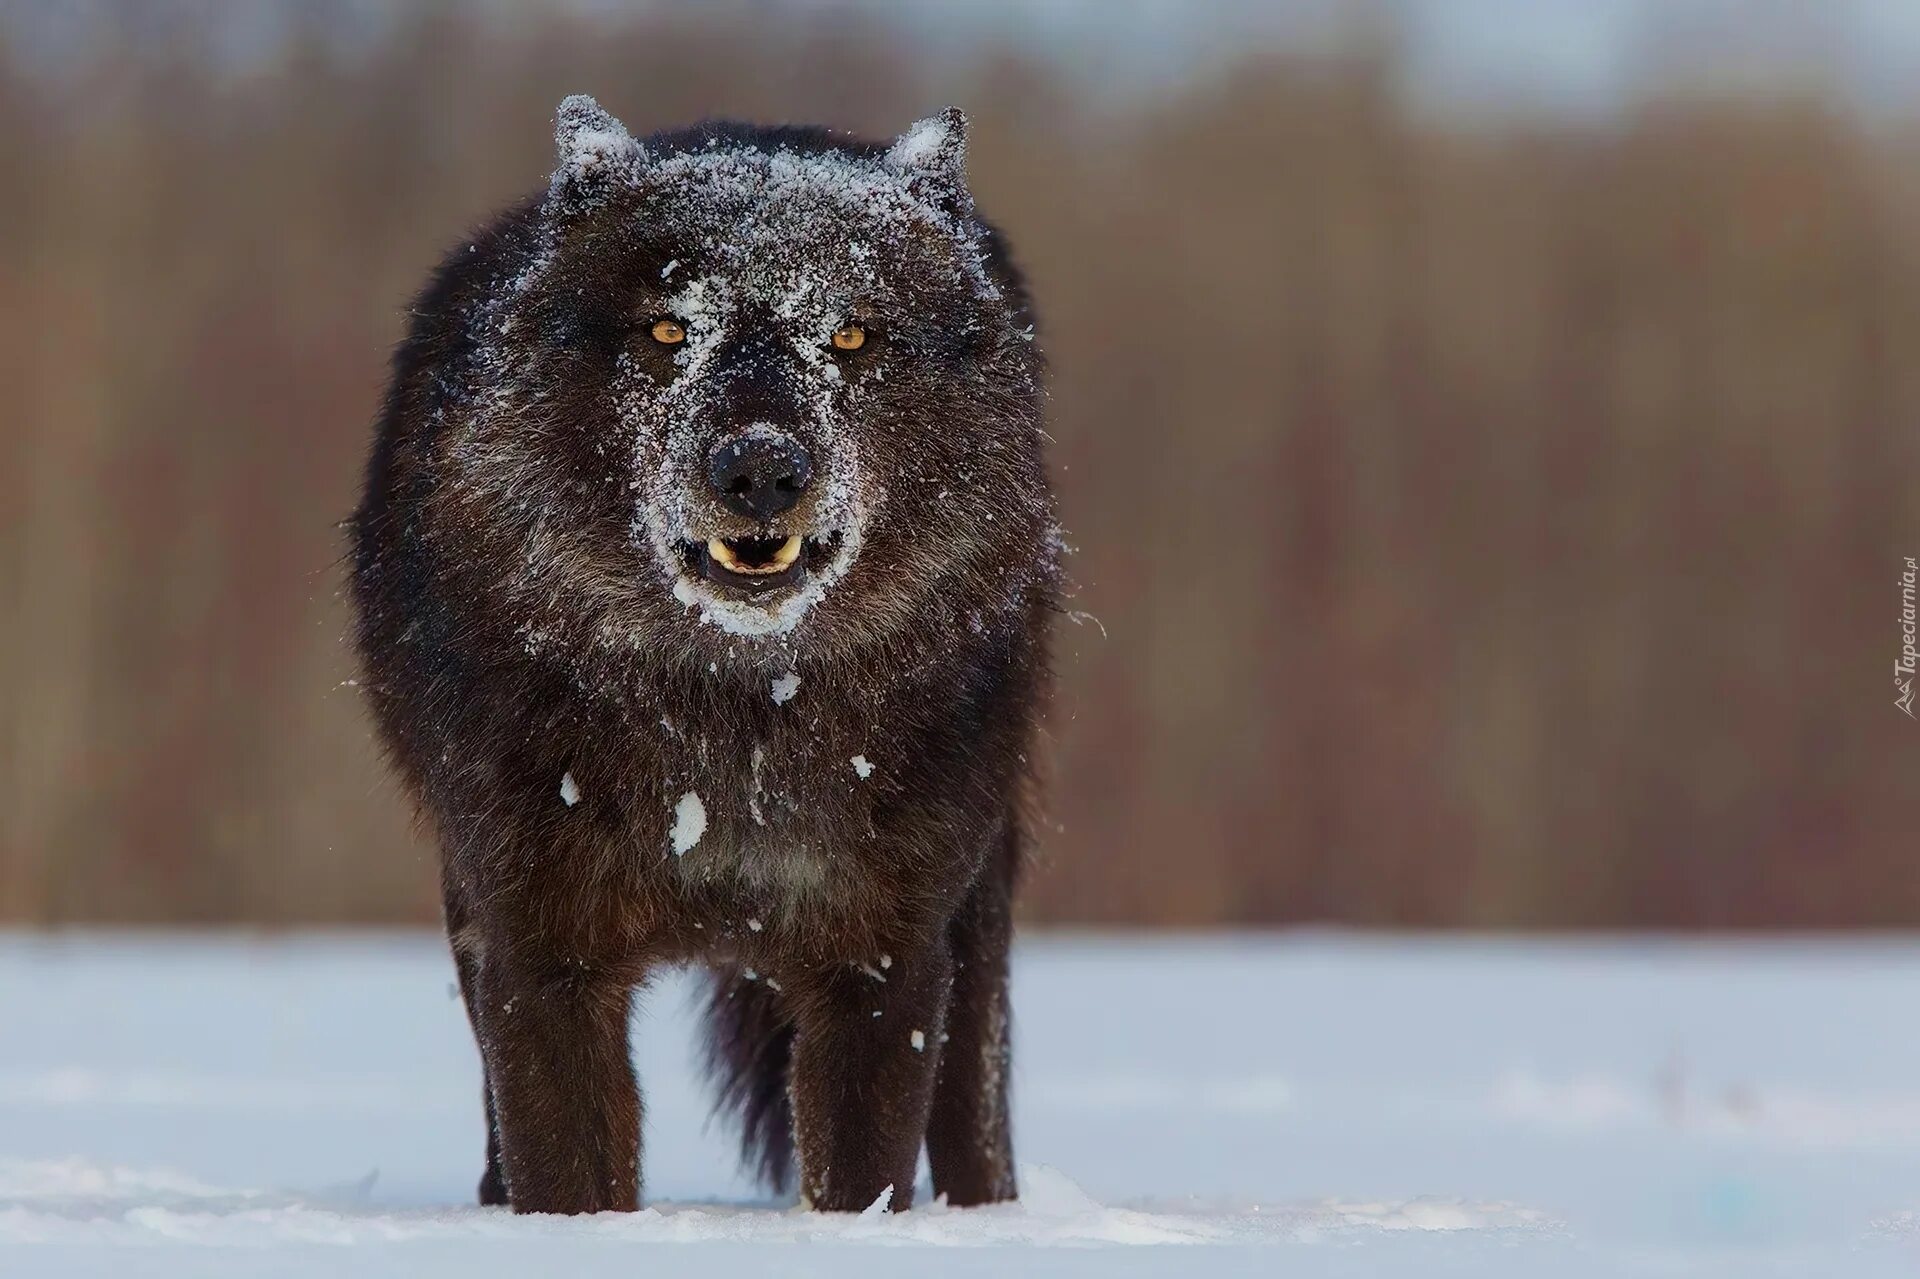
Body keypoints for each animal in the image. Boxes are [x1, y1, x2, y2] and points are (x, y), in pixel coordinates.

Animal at [353, 94, 1059, 1213]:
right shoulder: (542, 953)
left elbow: (862, 1177)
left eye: (849, 333)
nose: (760, 468)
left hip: (978, 907)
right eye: (670, 330)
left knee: (977, 1113)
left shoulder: (881, 958)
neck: (735, 715)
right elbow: (568, 1174)